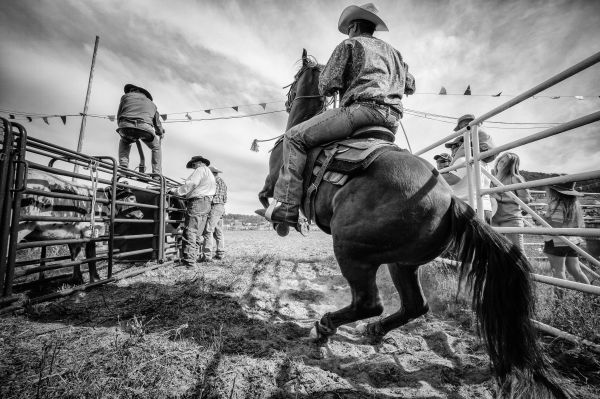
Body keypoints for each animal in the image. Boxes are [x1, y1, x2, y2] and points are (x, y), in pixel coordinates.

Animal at [256, 50, 568, 399]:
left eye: (294, 80)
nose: (287, 101)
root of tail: (452, 202)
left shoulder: (274, 178)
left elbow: (266, 196)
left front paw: (281, 221)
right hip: (403, 263)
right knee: (415, 306)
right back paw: (374, 330)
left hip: (351, 251)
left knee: (370, 303)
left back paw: (324, 329)